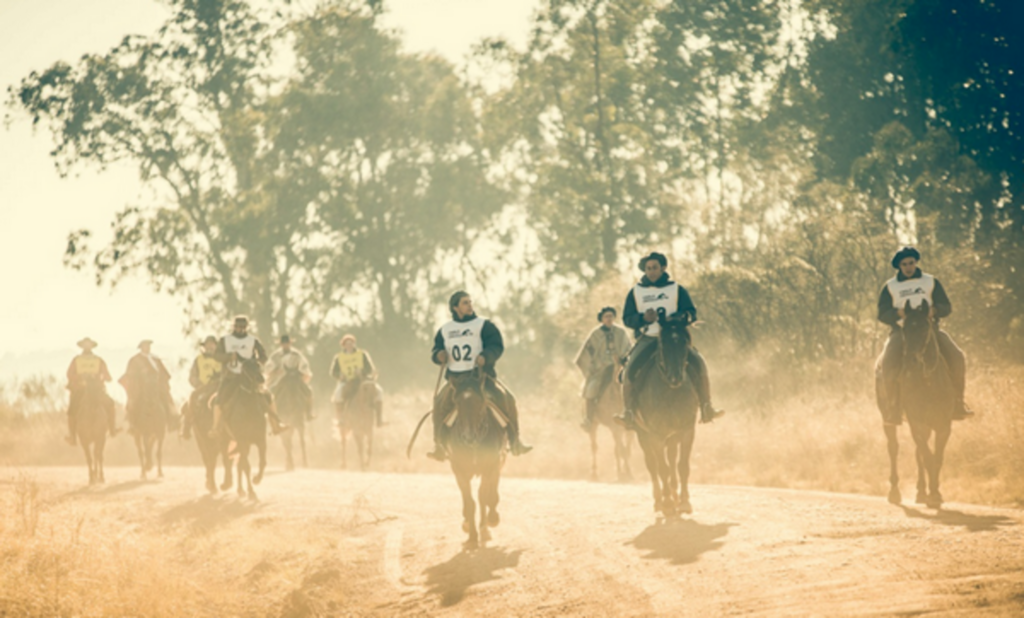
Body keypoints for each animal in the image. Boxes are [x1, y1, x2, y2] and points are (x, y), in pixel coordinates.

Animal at [223, 368, 268, 499]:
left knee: (239, 464)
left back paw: (241, 489)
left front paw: (257, 479)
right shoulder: (242, 440)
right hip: (225, 439)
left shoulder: (261, 440)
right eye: (248, 367)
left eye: (259, 365)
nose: (260, 379)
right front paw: (251, 489)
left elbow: (262, 462)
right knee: (230, 459)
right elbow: (246, 466)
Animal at [446, 368, 505, 548]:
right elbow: (470, 502)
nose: (468, 437)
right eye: (457, 402)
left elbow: (484, 496)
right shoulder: (459, 470)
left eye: (480, 401)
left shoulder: (490, 466)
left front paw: (490, 521)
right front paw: (472, 536)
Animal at [630, 313, 704, 515]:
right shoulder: (655, 434)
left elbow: (682, 466)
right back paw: (660, 500)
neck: (670, 392)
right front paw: (668, 502)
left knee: (671, 460)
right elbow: (661, 467)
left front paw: (684, 501)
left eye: (685, 342)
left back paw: (674, 495)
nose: (675, 378)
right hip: (643, 434)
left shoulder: (686, 431)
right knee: (652, 464)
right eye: (663, 343)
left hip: (672, 436)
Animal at [876, 300, 954, 509]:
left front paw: (934, 493)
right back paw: (894, 492)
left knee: (918, 451)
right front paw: (934, 495)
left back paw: (921, 493)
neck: (928, 382)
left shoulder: (944, 424)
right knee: (893, 448)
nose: (911, 360)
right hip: (887, 419)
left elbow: (936, 457)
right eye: (904, 329)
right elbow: (928, 457)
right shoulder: (915, 421)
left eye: (926, 327)